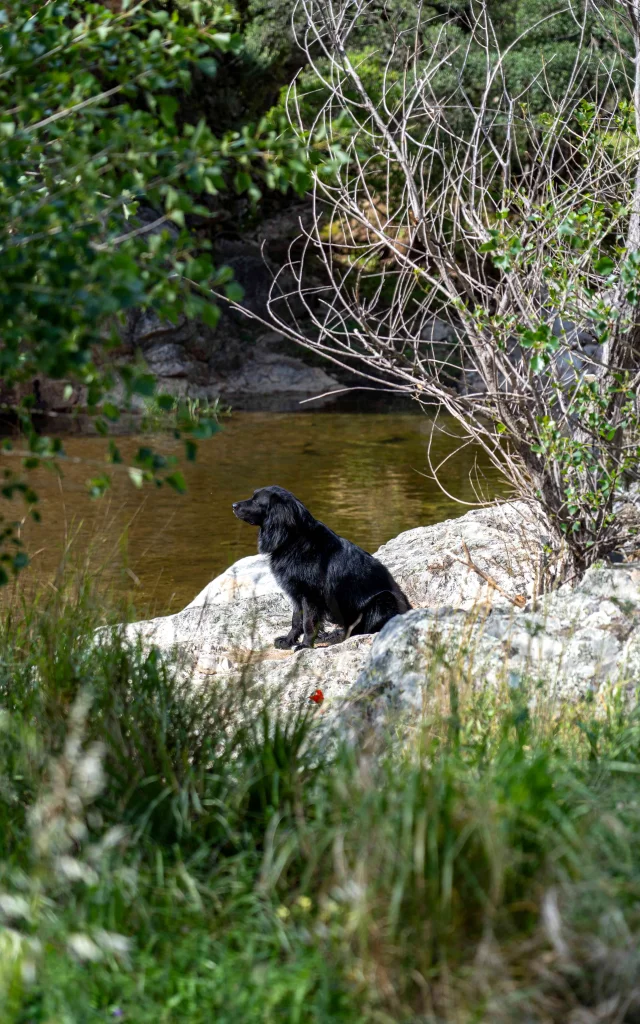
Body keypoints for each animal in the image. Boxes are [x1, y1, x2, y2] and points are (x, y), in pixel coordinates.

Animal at [233, 485, 409, 647]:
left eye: (256, 501)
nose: (233, 505)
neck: (293, 539)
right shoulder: (297, 593)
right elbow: (296, 620)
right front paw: (289, 640)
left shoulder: (311, 595)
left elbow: (308, 622)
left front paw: (305, 646)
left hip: (383, 599)